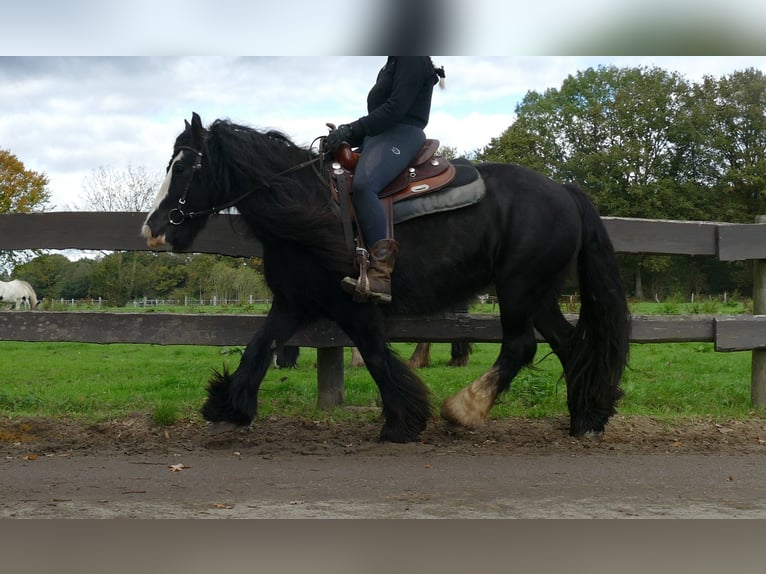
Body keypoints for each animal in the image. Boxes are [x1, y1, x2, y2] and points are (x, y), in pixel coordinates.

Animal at [142, 112, 630, 443]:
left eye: (182, 168)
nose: (153, 228)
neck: (308, 205)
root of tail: (564, 190)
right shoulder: (293, 301)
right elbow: (259, 348)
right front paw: (228, 406)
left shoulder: (352, 305)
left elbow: (376, 356)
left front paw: (404, 421)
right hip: (539, 294)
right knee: (568, 344)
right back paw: (585, 419)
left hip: (518, 288)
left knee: (520, 345)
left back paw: (464, 409)